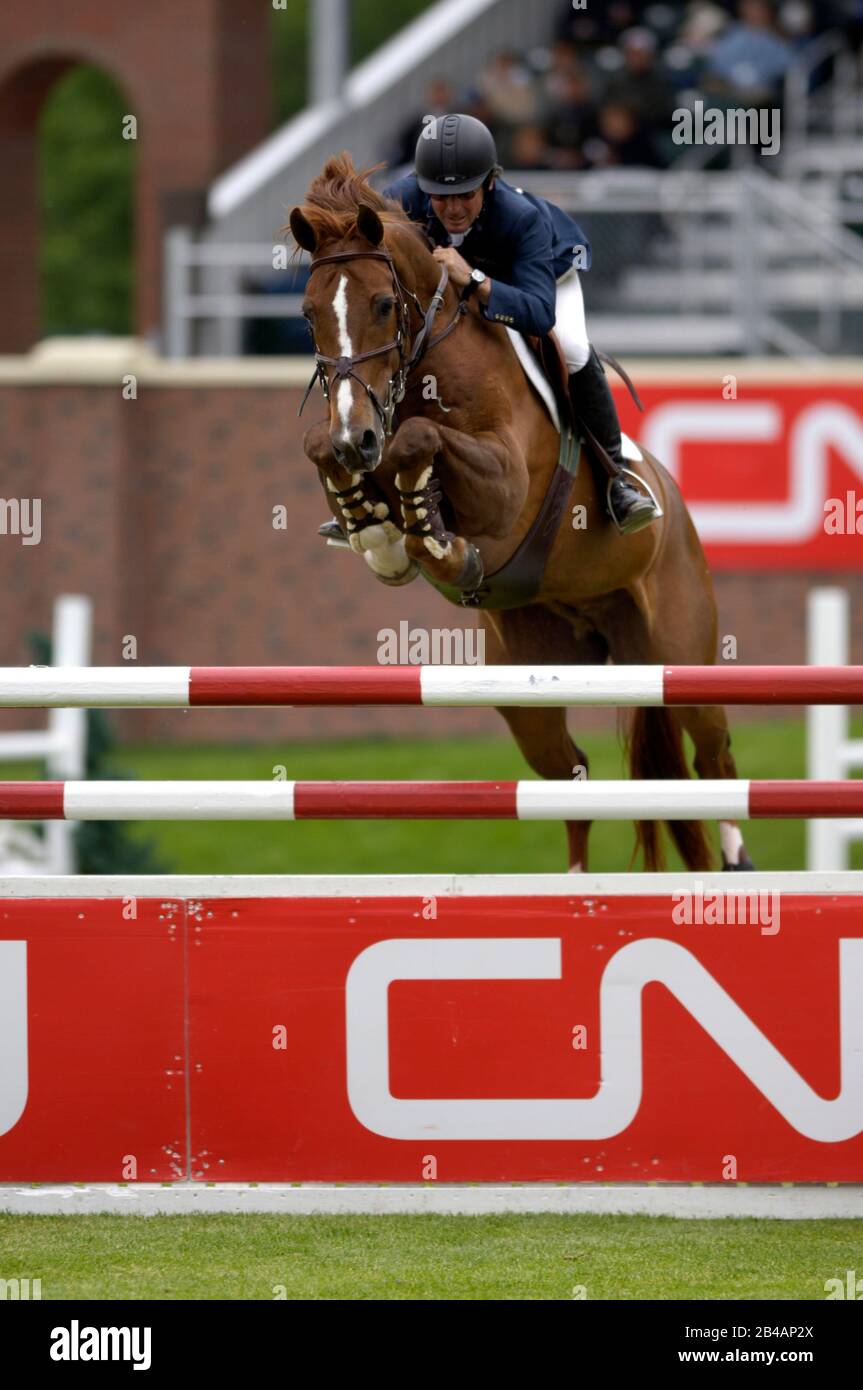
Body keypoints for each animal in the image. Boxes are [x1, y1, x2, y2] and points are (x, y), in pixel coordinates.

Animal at [286, 157, 750, 872]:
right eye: (308, 315)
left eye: (384, 305)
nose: (353, 440)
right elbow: (341, 452)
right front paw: (376, 528)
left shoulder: (504, 483)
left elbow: (418, 440)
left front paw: (433, 541)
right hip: (530, 678)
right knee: (571, 776)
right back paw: (577, 883)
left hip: (680, 653)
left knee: (715, 757)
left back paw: (733, 868)